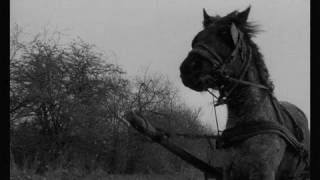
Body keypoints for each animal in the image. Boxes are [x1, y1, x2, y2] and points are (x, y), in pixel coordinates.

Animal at [179, 6, 308, 180]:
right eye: (197, 38)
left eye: (225, 35)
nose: (188, 68)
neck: (248, 120)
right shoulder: (229, 171)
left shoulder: (263, 172)